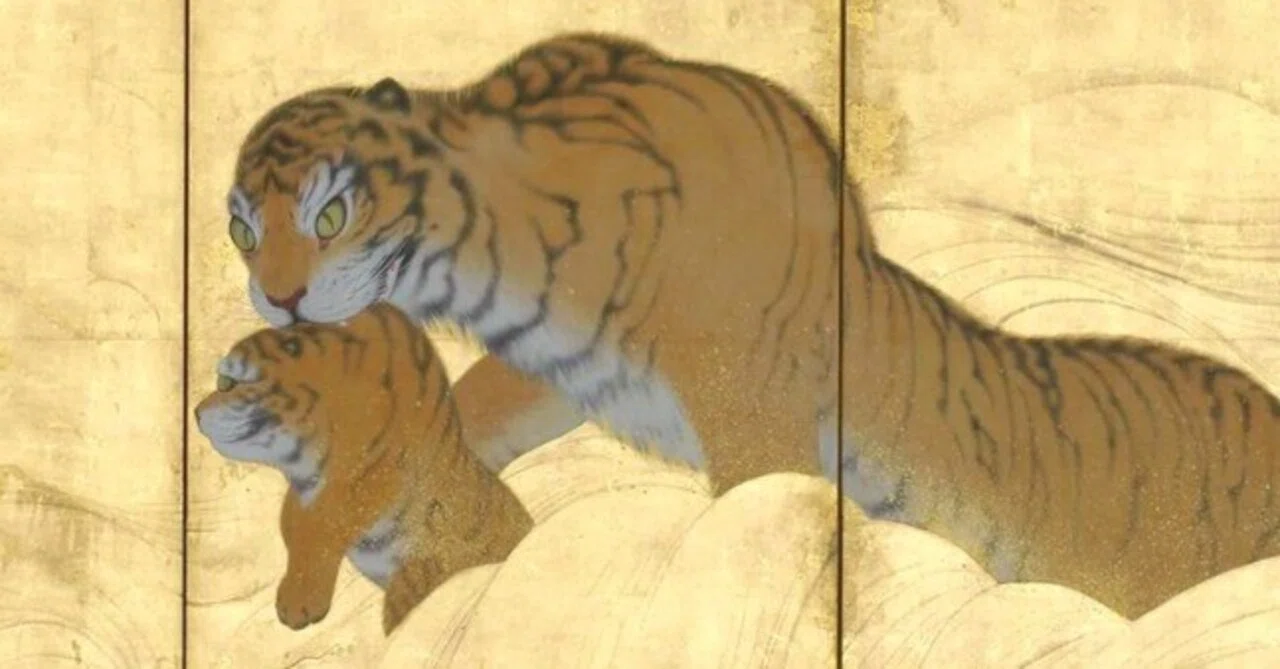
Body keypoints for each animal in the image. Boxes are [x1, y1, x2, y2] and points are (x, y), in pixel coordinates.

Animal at [220, 31, 1280, 618]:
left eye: (328, 214)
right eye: (241, 227)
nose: (279, 298)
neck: (490, 257)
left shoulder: (755, 419)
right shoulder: (554, 368)